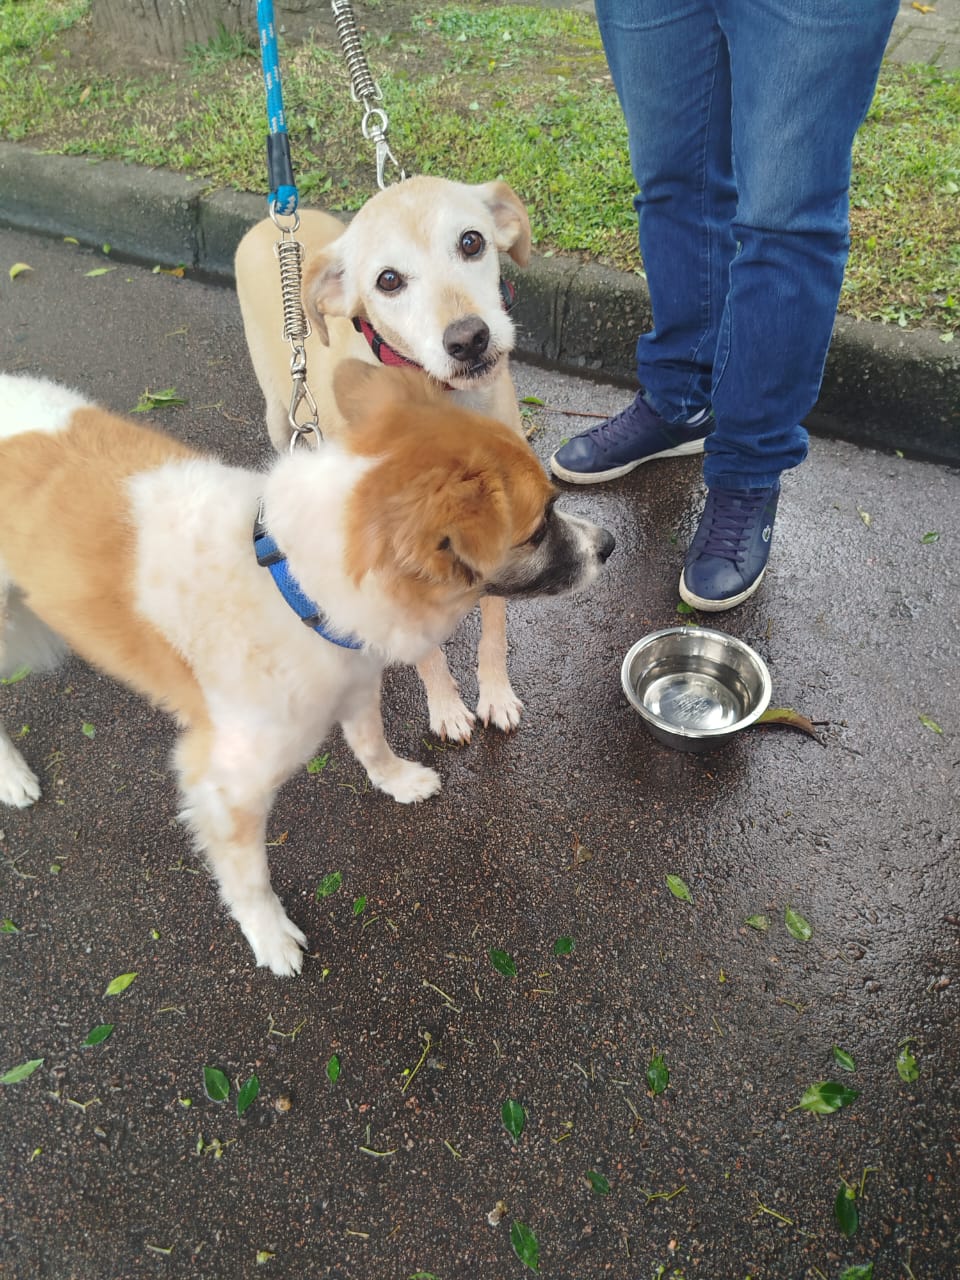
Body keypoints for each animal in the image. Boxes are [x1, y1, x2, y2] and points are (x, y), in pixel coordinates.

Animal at [0, 363, 614, 975]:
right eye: (540, 527)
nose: (609, 543)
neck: (291, 580)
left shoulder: (356, 683)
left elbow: (372, 745)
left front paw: (397, 781)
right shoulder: (226, 789)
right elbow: (250, 880)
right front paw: (270, 937)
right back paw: (13, 776)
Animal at [235, 176, 539, 745]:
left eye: (472, 241)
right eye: (389, 280)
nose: (468, 339)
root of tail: (272, 221)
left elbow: (494, 630)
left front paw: (496, 695)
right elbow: (425, 650)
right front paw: (446, 708)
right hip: (280, 409)